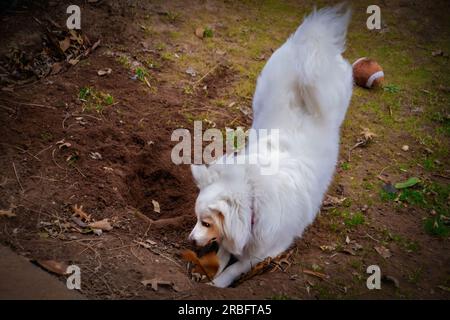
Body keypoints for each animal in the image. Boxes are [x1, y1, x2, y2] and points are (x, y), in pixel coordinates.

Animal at [188, 4, 354, 288]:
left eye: (206, 223)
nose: (190, 240)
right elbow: (223, 254)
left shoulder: (265, 250)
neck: (252, 197)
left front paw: (218, 284)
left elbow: (236, 266)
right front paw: (213, 271)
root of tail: (310, 48)